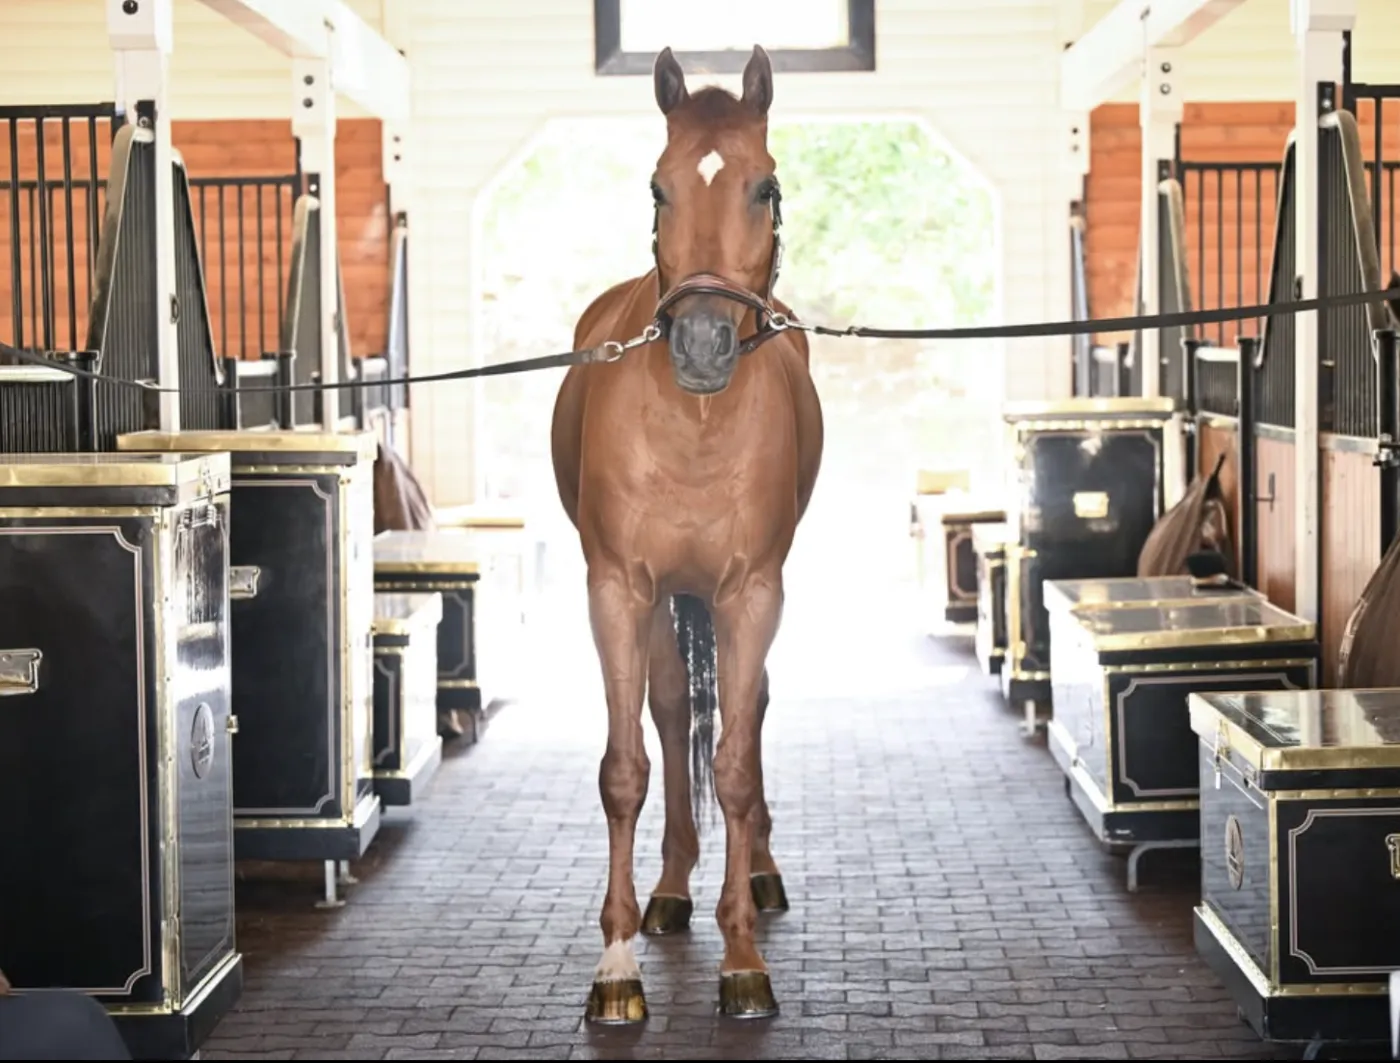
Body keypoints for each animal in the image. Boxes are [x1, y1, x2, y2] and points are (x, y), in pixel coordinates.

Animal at [549, 44, 824, 1023]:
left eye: (764, 187)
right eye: (659, 187)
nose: (702, 343)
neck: (695, 424)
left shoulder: (754, 592)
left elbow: (736, 764)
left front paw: (743, 959)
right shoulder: (616, 588)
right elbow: (626, 766)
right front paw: (616, 967)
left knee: (747, 713)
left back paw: (760, 876)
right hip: (665, 597)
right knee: (670, 713)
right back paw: (668, 893)